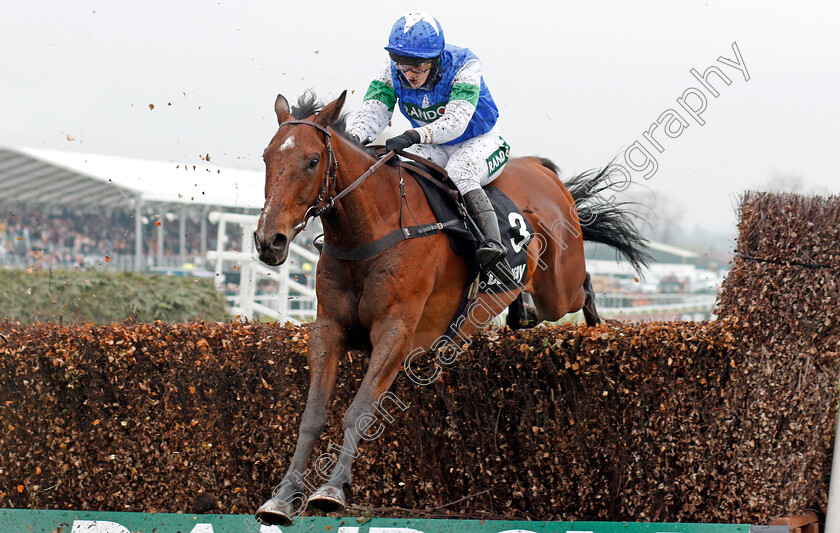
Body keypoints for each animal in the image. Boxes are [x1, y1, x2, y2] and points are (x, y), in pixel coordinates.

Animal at [253, 91, 648, 524]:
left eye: (312, 161)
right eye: (267, 157)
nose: (269, 240)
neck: (374, 229)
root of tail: (543, 172)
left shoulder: (396, 332)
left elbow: (359, 409)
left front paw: (331, 489)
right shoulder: (329, 329)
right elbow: (311, 415)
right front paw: (282, 497)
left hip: (559, 290)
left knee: (587, 290)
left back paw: (599, 335)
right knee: (531, 312)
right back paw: (523, 312)